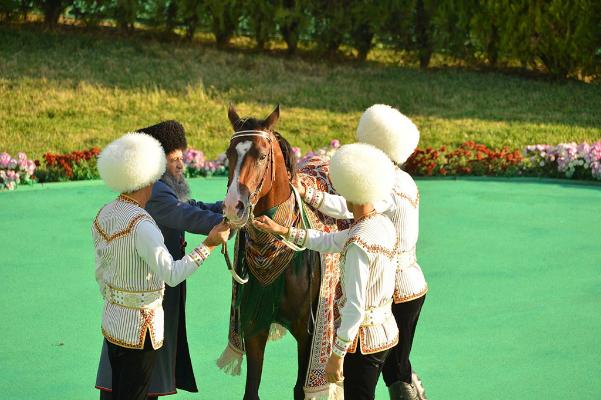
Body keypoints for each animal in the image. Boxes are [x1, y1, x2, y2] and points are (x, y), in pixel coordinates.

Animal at [221, 104, 324, 398]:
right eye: (228, 154)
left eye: (262, 155)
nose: (233, 206)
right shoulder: (254, 324)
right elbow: (251, 390)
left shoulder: (307, 331)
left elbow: (300, 388)